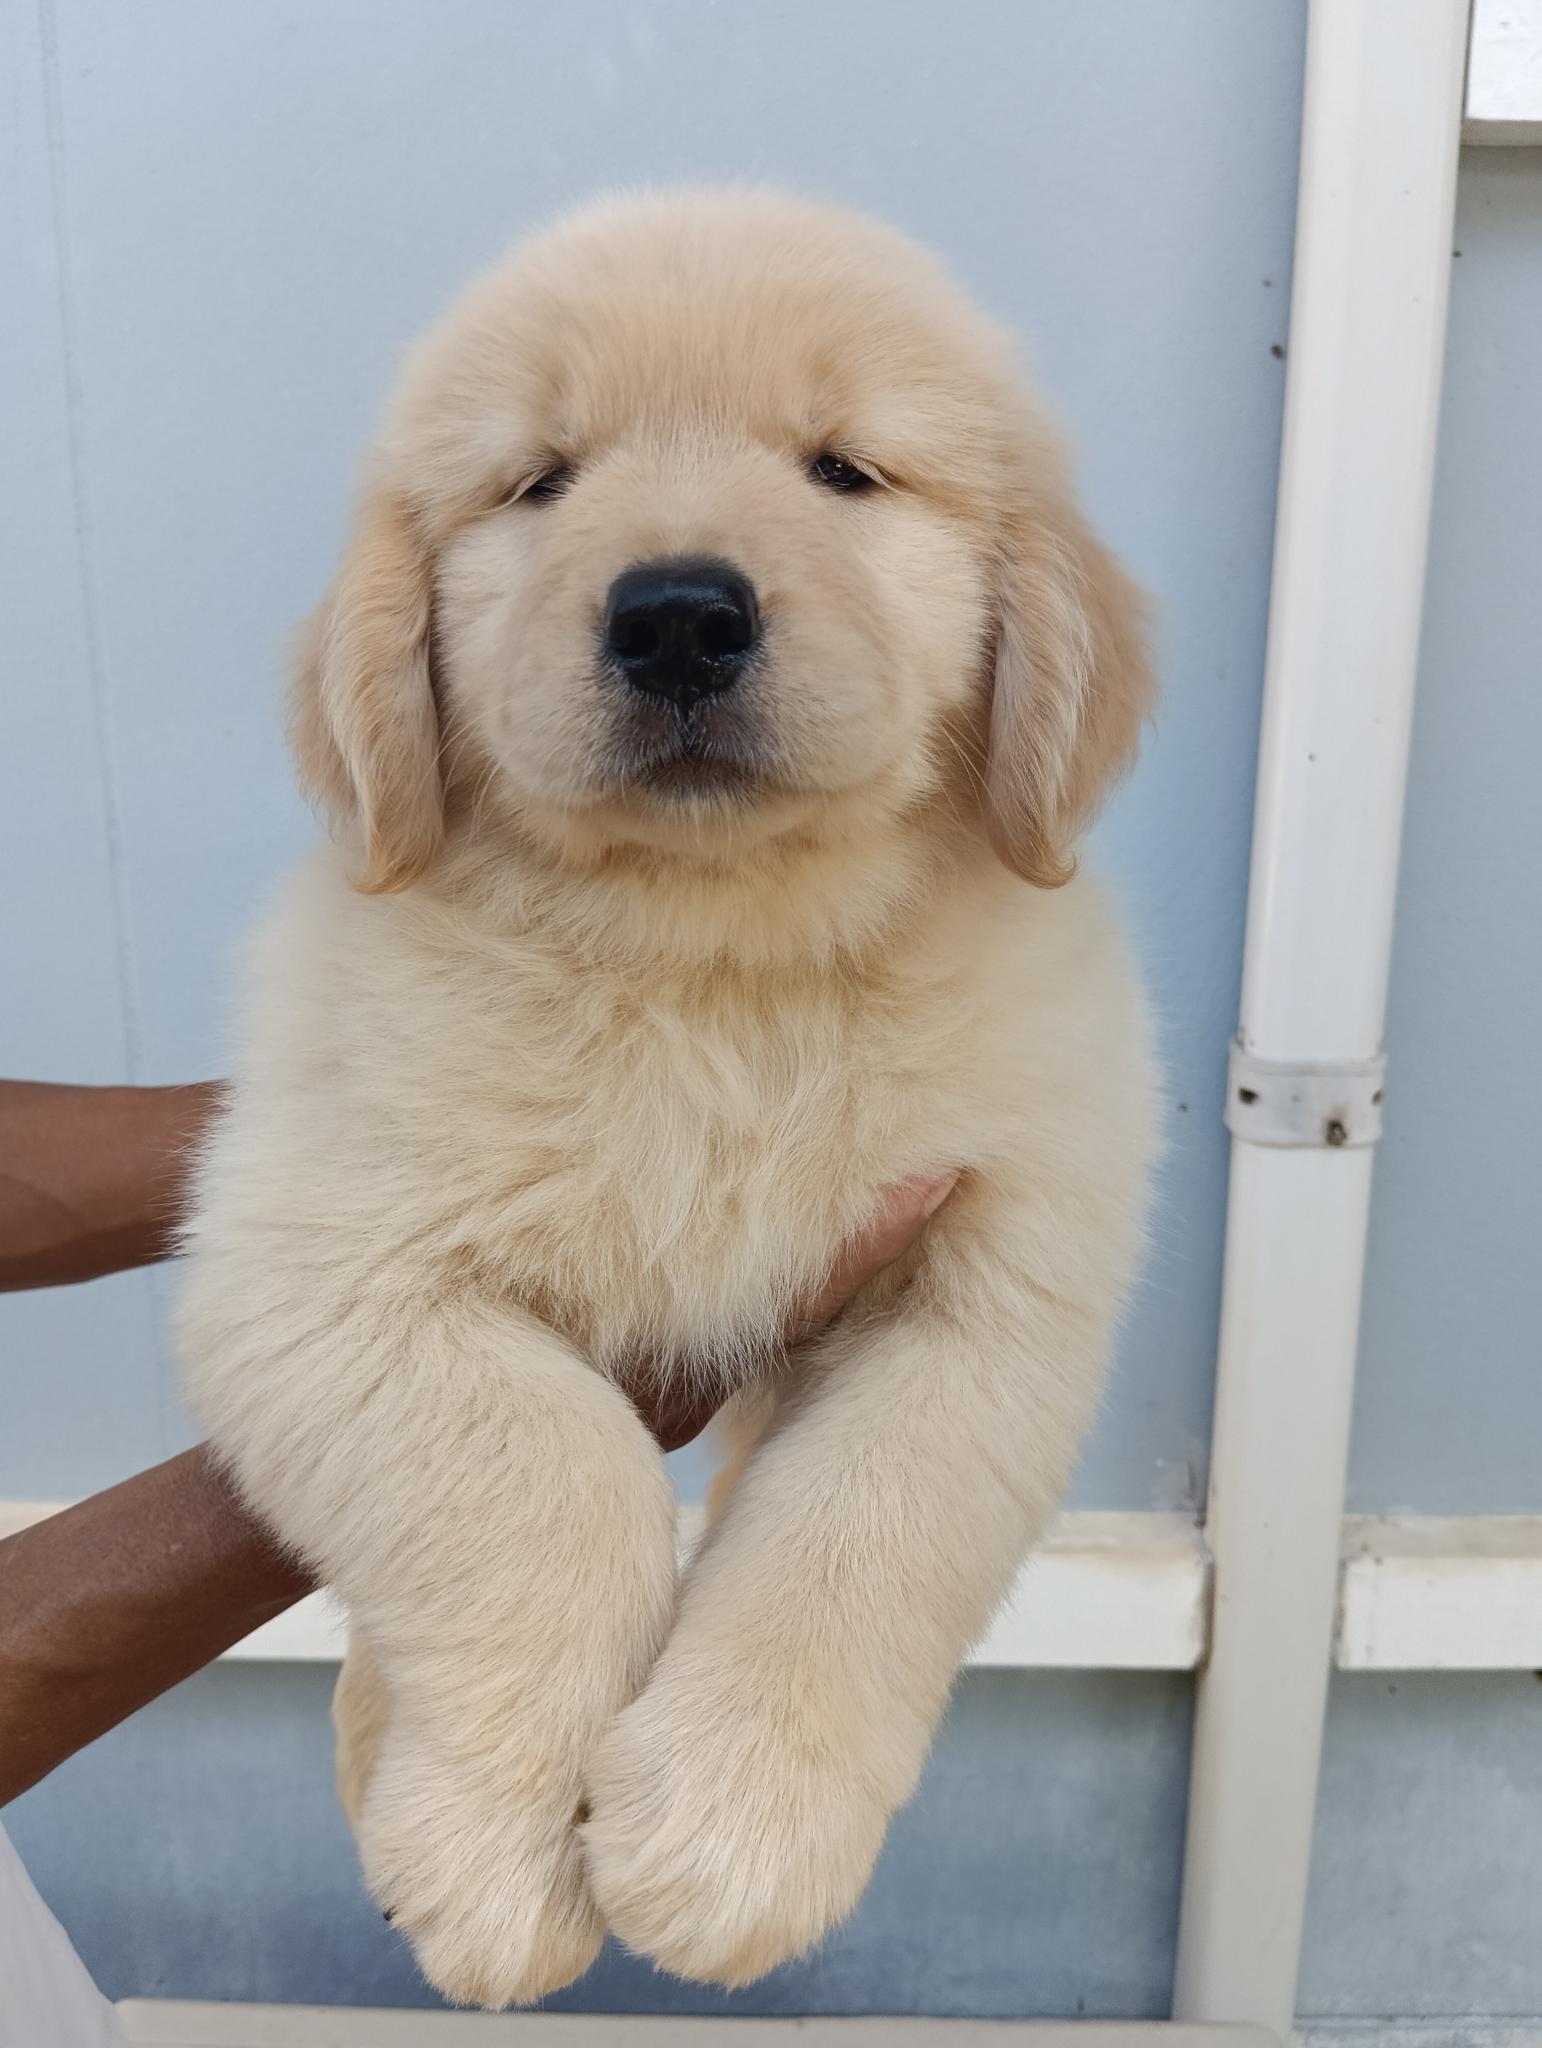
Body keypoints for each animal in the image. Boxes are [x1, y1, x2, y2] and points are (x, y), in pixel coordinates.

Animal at [177, 187, 1158, 2007]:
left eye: (843, 468)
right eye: (539, 480)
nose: (680, 614)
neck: (717, 962)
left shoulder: (988, 1279)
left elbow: (860, 1526)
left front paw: (733, 1829)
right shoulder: (318, 1265)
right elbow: (549, 1474)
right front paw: (493, 1851)